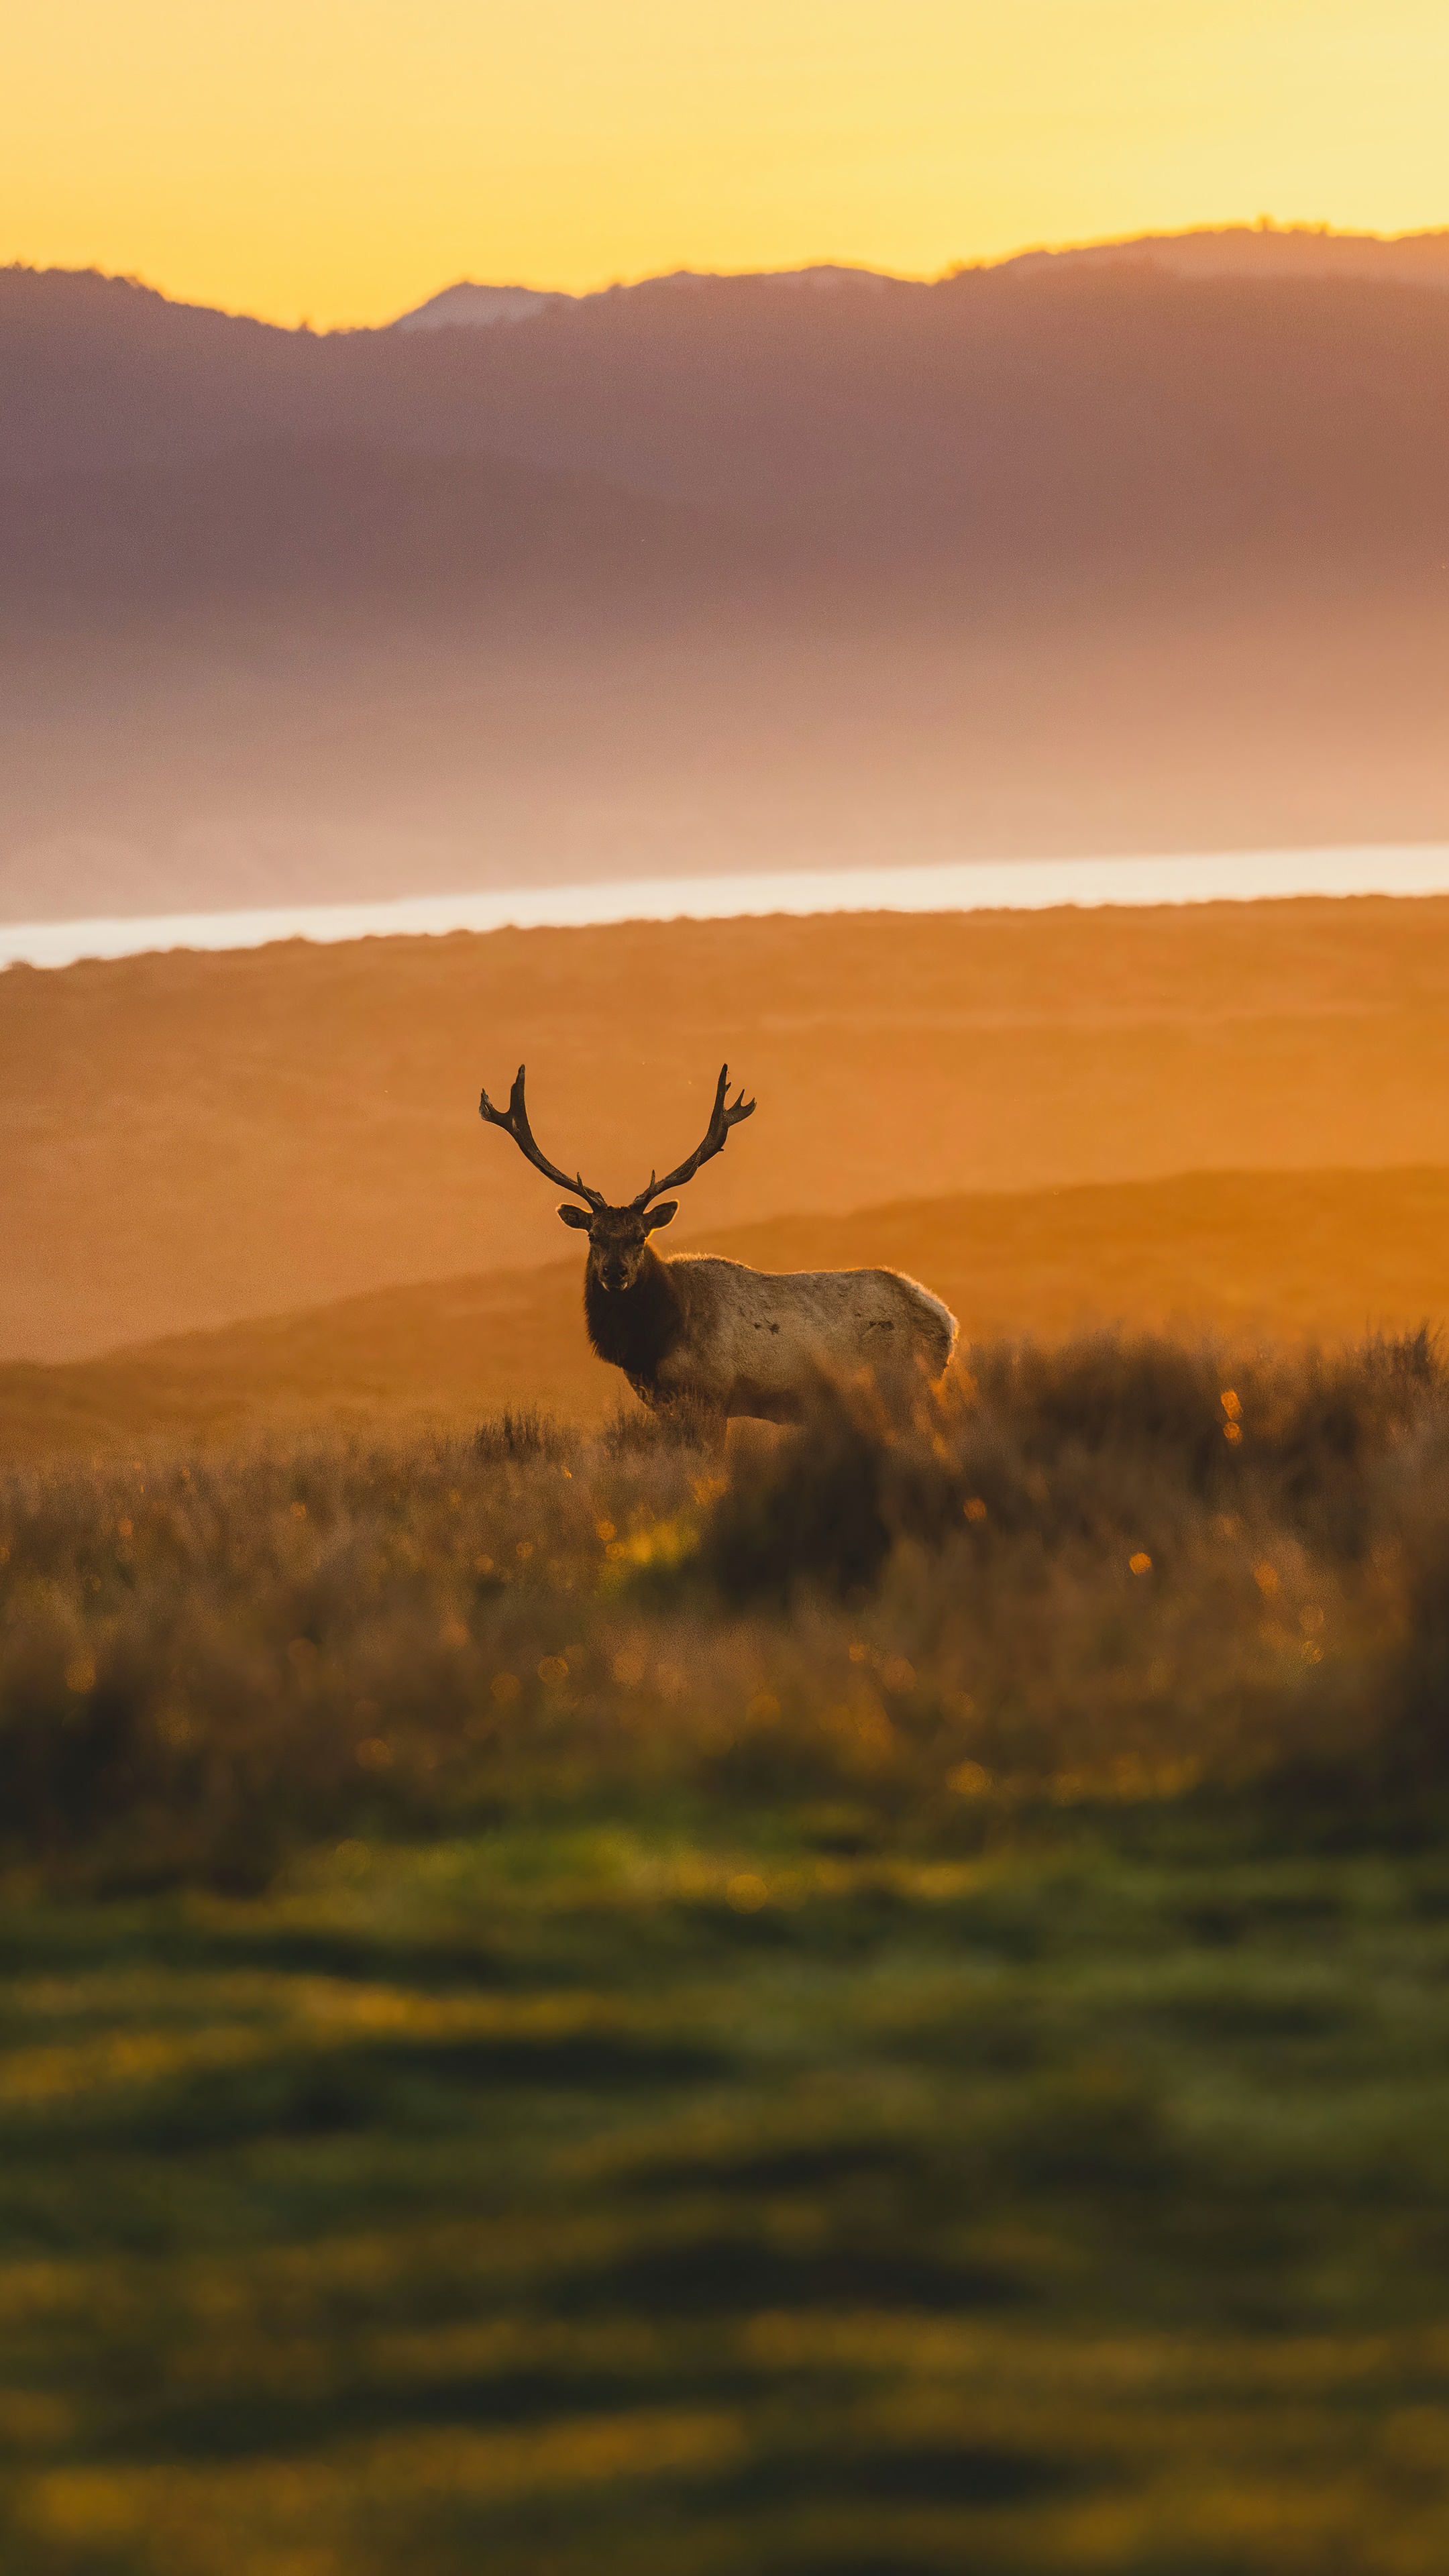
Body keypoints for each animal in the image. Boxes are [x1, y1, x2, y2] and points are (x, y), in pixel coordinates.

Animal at [478, 1063, 957, 1426]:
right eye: (593, 1235)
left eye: (641, 1235)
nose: (615, 1273)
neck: (651, 1344)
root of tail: (947, 1322)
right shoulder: (665, 1406)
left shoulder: (709, 1397)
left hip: (908, 1385)